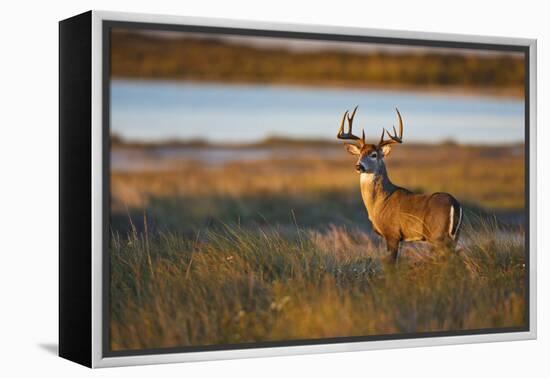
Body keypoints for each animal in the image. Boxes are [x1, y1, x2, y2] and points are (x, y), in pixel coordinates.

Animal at [338, 105, 464, 262]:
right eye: (359, 154)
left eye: (374, 154)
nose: (358, 166)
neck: (379, 202)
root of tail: (455, 204)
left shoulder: (392, 233)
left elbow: (391, 263)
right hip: (454, 236)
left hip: (438, 235)